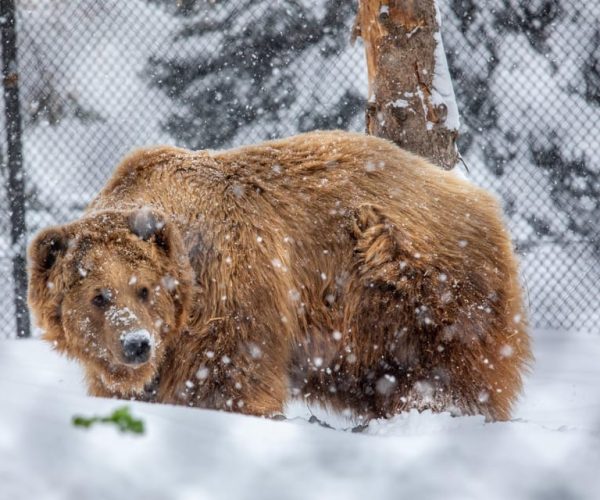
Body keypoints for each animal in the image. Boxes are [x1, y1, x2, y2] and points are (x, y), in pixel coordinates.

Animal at [29, 131, 528, 420]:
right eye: (99, 296)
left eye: (145, 289)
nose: (136, 344)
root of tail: (478, 197)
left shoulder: (231, 293)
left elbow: (225, 379)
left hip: (420, 284)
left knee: (455, 368)